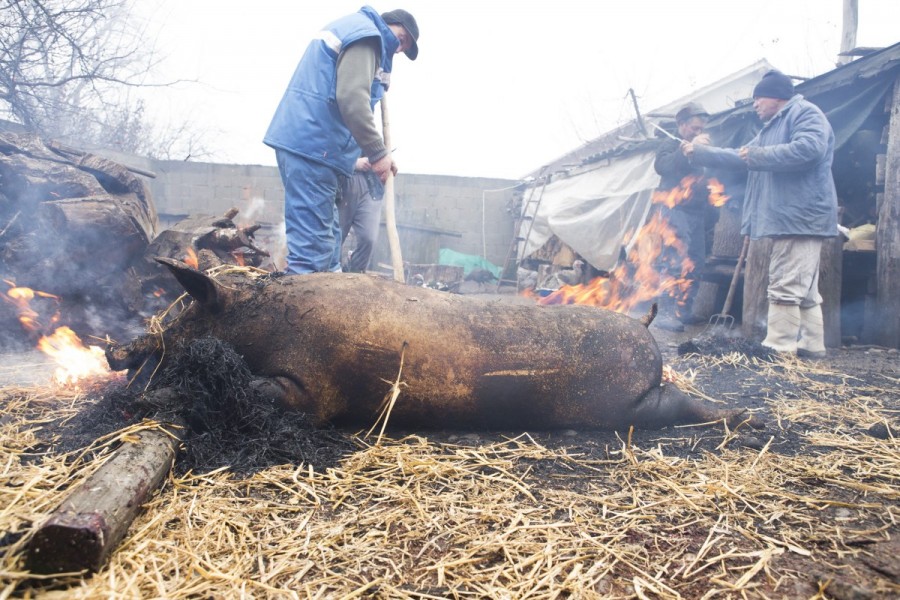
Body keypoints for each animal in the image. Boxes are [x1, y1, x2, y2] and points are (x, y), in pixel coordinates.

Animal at [107, 258, 760, 432]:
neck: (257, 319)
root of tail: (646, 329)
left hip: (624, 402)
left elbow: (269, 393)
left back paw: (743, 416)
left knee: (677, 405)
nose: (116, 352)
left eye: (186, 310)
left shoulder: (314, 388)